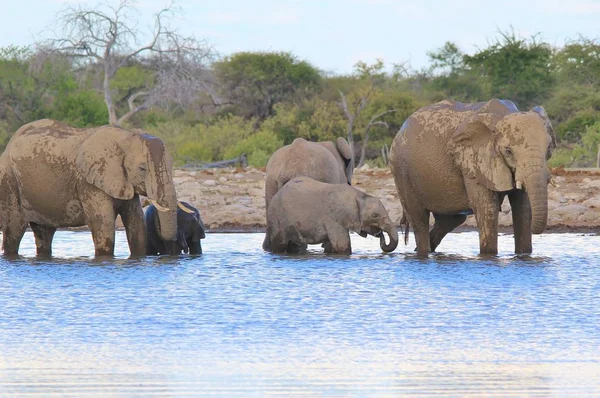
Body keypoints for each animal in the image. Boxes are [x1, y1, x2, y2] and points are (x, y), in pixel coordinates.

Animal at [0, 118, 178, 256]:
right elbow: (104, 226)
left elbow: (137, 225)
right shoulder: (88, 182)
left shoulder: (124, 182)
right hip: (10, 181)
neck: (125, 138)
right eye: (142, 169)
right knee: (14, 231)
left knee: (44, 233)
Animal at [264, 177, 398, 255]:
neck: (357, 194)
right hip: (276, 218)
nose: (380, 234)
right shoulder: (332, 218)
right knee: (279, 245)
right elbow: (342, 246)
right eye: (375, 215)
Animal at [392, 98, 556, 256]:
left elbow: (523, 207)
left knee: (449, 221)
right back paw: (422, 252)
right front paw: (488, 257)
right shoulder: (474, 163)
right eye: (508, 151)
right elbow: (487, 208)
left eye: (548, 147)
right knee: (419, 220)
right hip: (401, 171)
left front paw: (524, 255)